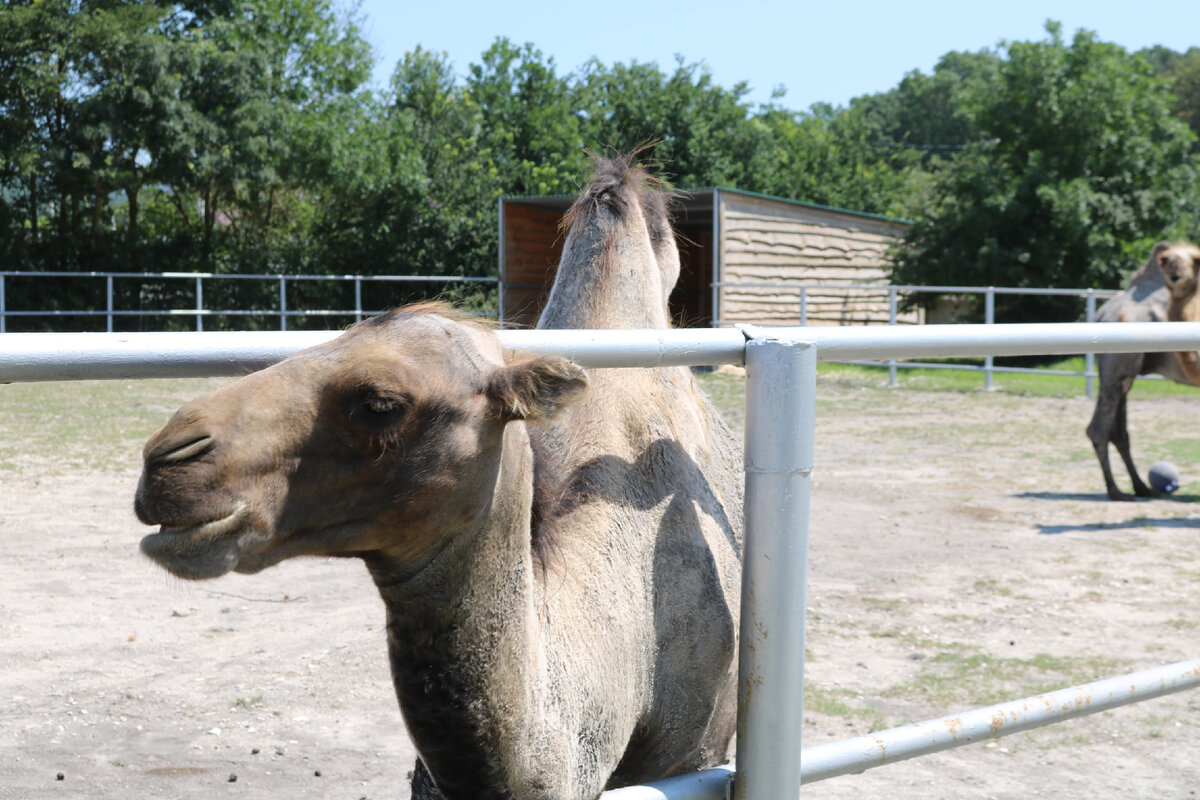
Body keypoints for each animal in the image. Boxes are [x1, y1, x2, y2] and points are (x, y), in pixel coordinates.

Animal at [1089, 239, 1200, 501]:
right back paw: (1116, 491)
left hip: (1123, 375)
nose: (1175, 273)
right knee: (1099, 428)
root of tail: (1102, 312)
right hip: (1117, 368)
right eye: (1167, 261)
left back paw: (1140, 487)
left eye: (1195, 261)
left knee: (1118, 431)